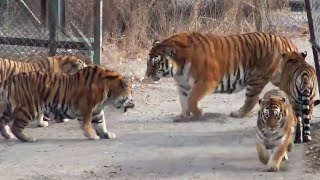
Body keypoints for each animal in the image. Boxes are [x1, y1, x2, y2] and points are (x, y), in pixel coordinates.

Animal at [0, 65, 134, 142]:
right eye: (131, 92)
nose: (134, 103)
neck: (109, 95)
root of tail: (10, 79)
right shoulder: (86, 108)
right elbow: (87, 123)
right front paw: (92, 136)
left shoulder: (97, 110)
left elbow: (101, 123)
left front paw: (106, 134)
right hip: (29, 108)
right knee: (16, 127)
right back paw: (28, 139)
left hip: (9, 108)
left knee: (2, 121)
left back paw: (7, 135)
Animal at [145, 31, 298, 121]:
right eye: (147, 62)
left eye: (155, 63)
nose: (146, 75)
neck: (178, 70)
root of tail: (286, 40)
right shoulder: (183, 85)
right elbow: (184, 100)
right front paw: (183, 116)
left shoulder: (206, 81)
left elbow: (192, 100)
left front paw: (199, 113)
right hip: (279, 78)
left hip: (256, 79)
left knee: (251, 100)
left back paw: (238, 113)